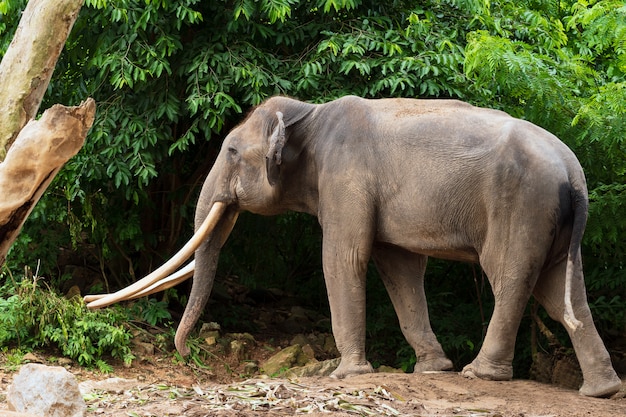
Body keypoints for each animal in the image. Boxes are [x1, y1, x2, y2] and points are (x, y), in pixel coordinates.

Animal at [86, 94, 620, 396]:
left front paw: (347, 375)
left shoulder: (346, 178)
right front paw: (431, 370)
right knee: (562, 292)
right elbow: (398, 267)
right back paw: (602, 391)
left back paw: (479, 375)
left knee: (511, 278)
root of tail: (574, 171)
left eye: (232, 152)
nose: (185, 355)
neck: (308, 114)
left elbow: (343, 258)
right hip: (552, 221)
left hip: (520, 207)